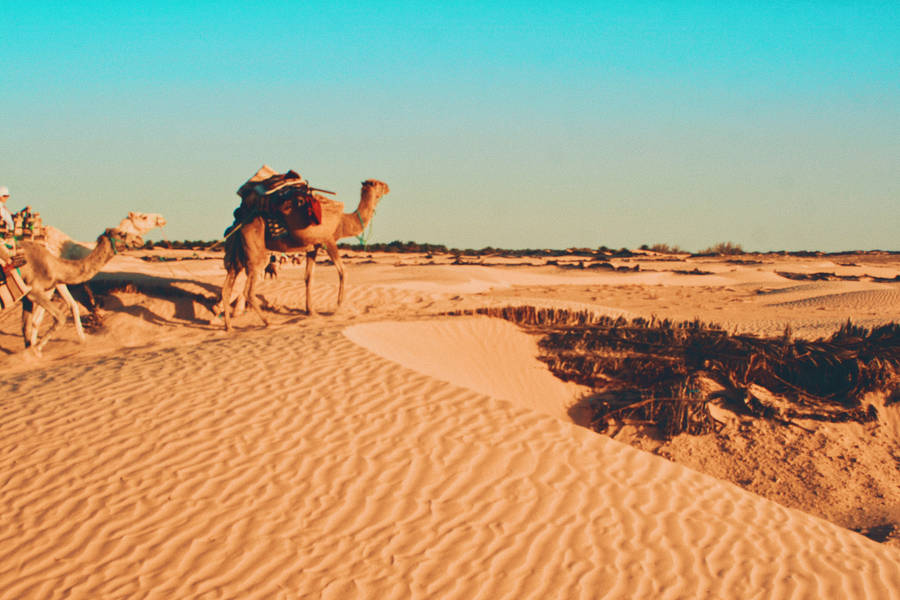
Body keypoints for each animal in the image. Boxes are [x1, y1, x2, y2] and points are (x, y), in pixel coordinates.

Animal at [220, 179, 390, 331]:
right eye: (378, 184)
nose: (388, 187)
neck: (343, 223)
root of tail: (240, 224)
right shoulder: (328, 240)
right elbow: (343, 272)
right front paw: (338, 308)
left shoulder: (313, 248)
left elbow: (308, 277)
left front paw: (311, 311)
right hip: (256, 252)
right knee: (248, 290)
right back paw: (269, 323)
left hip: (237, 253)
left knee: (227, 287)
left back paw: (229, 327)